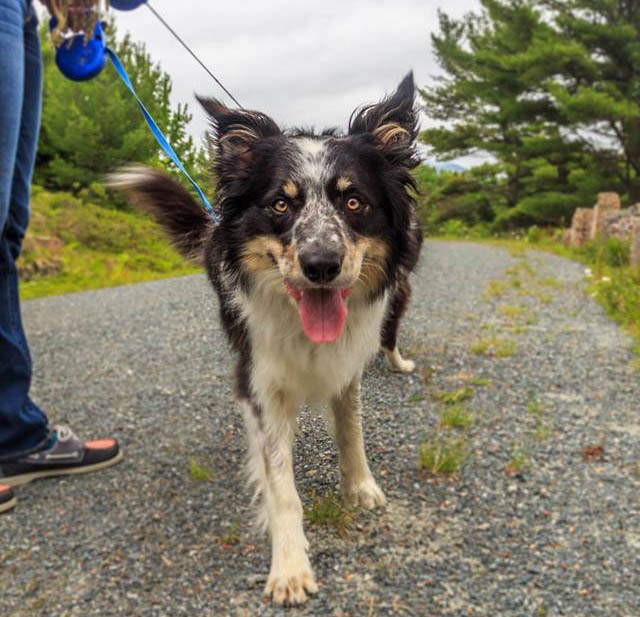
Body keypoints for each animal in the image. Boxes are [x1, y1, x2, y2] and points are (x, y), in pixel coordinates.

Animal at [112, 73, 422, 608]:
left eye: (354, 201)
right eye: (281, 203)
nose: (322, 265)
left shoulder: (346, 367)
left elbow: (351, 431)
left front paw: (360, 487)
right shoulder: (259, 377)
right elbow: (280, 482)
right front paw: (290, 567)